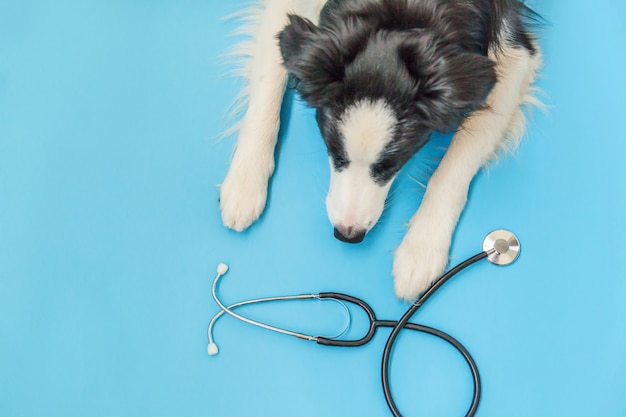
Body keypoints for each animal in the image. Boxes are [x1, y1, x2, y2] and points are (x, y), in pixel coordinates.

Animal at [217, 0, 540, 300]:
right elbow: (268, 83)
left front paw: (421, 248)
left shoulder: (513, 55)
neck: (401, 11)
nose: (347, 235)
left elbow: (455, 163)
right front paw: (244, 184)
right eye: (334, 152)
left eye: (391, 165)